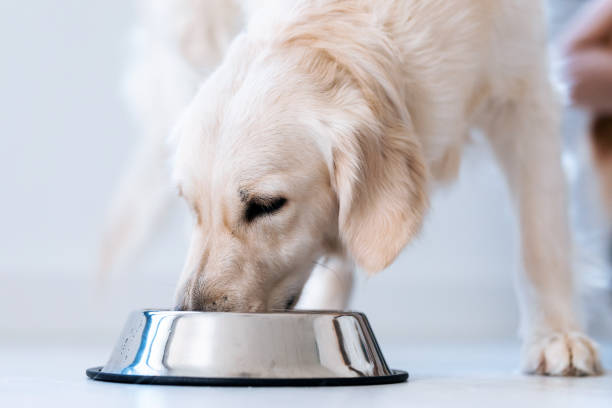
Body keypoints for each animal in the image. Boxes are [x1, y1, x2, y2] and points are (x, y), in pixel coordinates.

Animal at [101, 0, 604, 376]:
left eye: (266, 205)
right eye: (192, 207)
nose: (191, 312)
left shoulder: (526, 91)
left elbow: (541, 238)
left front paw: (558, 336)